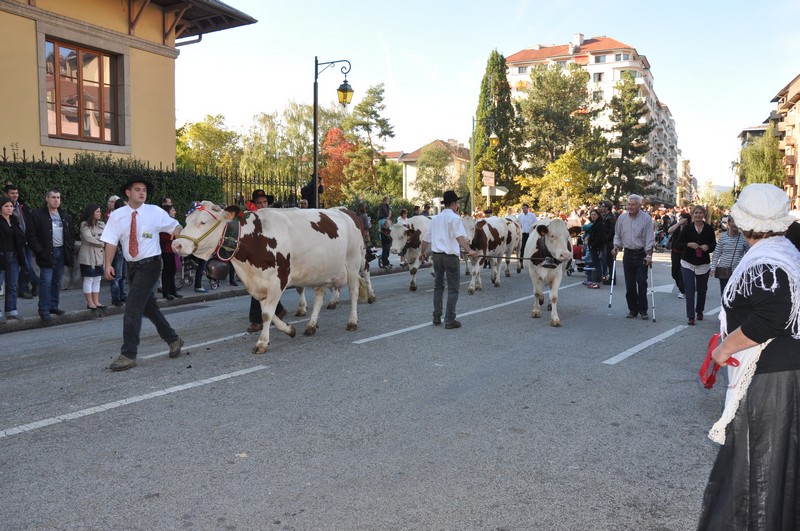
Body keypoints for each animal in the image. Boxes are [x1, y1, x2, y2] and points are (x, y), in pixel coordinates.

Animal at [173, 203, 368, 354]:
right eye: (187, 221)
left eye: (203, 222)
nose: (176, 244)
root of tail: (345, 210)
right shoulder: (258, 285)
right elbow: (268, 313)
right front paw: (289, 329)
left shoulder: (278, 279)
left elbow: (267, 314)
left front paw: (262, 343)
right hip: (319, 271)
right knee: (320, 296)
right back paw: (311, 326)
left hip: (353, 262)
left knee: (353, 291)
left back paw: (352, 321)